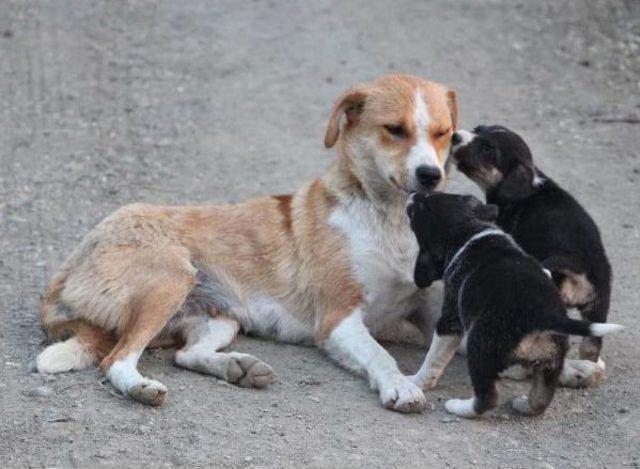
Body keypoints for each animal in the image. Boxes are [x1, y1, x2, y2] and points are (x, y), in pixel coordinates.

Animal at [37, 72, 458, 410]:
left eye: (443, 134)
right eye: (395, 129)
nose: (430, 175)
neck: (391, 220)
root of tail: (65, 271)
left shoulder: (434, 310)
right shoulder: (338, 319)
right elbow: (380, 355)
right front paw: (400, 386)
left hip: (217, 318)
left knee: (186, 354)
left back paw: (237, 368)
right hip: (169, 279)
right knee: (116, 359)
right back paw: (141, 388)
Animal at [408, 192, 624, 418]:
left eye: (416, 210)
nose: (413, 195)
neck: (468, 231)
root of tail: (544, 316)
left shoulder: (450, 320)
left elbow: (433, 359)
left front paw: (415, 381)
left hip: (480, 348)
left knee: (487, 398)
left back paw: (459, 407)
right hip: (551, 361)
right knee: (540, 400)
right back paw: (523, 404)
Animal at [450, 124, 616, 372]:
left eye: (488, 149)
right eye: (478, 129)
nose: (455, 136)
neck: (530, 183)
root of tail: (583, 265)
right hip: (598, 307)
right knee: (591, 346)